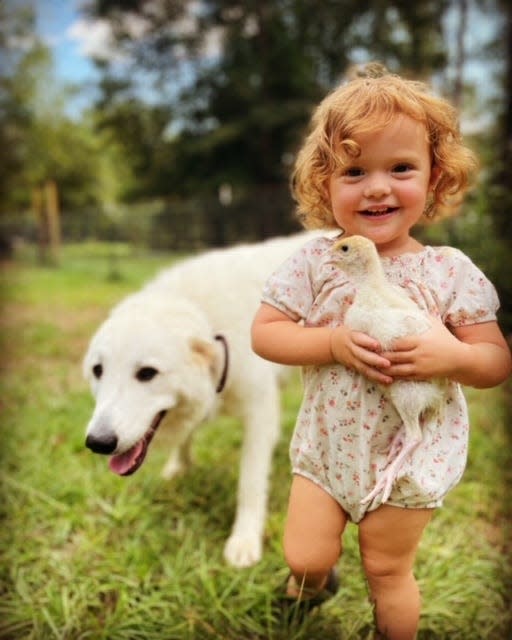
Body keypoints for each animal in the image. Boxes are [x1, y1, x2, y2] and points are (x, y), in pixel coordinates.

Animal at [83, 229, 324, 564]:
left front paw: (244, 539)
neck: (208, 319)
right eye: (98, 371)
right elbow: (186, 438)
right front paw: (178, 467)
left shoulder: (259, 412)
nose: (98, 442)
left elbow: (250, 482)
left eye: (147, 373)